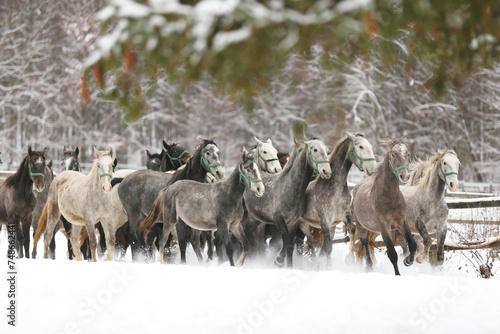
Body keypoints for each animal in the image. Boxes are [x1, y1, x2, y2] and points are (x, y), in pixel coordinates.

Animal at [296, 132, 376, 268]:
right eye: (360, 146)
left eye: (370, 146)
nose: (372, 168)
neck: (335, 189)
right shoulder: (325, 221)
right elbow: (328, 247)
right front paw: (328, 267)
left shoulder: (344, 217)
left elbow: (352, 231)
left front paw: (350, 258)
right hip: (303, 224)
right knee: (311, 242)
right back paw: (315, 264)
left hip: (331, 227)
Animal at [350, 137, 416, 276]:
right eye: (393, 154)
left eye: (407, 154)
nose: (405, 176)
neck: (390, 198)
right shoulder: (383, 227)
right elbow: (392, 254)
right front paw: (398, 274)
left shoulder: (402, 223)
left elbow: (413, 245)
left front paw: (408, 261)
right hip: (362, 226)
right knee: (365, 243)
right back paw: (369, 267)